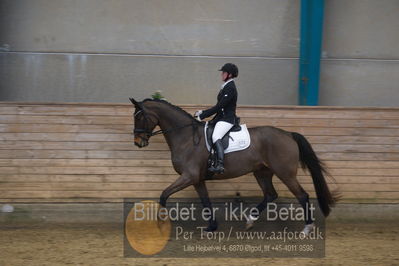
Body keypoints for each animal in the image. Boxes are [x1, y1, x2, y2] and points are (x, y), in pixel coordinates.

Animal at [130, 97, 340, 235]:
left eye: (139, 117)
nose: (138, 142)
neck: (186, 137)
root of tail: (288, 134)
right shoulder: (197, 179)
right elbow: (205, 201)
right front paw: (211, 227)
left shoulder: (189, 176)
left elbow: (164, 194)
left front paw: (160, 223)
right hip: (262, 172)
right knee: (270, 194)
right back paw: (250, 220)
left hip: (285, 173)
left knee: (302, 196)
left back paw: (306, 229)